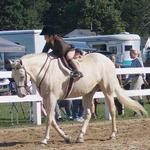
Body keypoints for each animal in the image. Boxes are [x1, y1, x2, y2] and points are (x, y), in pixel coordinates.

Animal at [9, 52, 146, 144]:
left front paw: (44, 139)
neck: (44, 71)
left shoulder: (52, 98)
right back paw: (80, 137)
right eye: (12, 76)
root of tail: (107, 60)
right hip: (88, 93)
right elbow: (52, 119)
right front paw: (66, 137)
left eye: (22, 76)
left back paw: (112, 134)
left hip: (107, 90)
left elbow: (49, 119)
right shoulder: (47, 99)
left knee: (112, 110)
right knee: (88, 114)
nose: (21, 94)